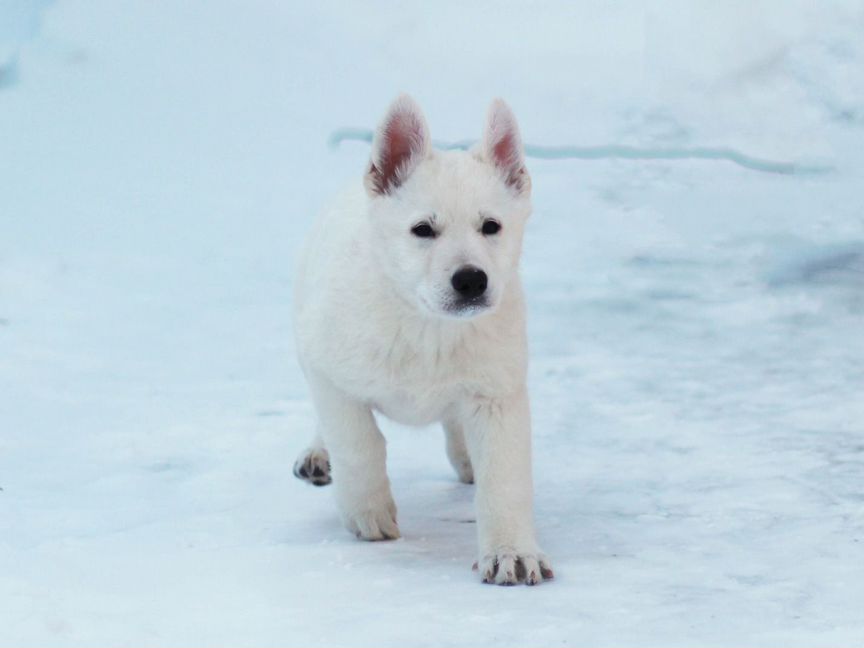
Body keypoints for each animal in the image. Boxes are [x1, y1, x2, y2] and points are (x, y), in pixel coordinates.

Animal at [294, 96, 552, 588]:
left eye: (491, 226)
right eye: (422, 230)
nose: (471, 280)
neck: (426, 326)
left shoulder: (497, 394)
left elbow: (504, 480)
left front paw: (510, 553)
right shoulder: (330, 374)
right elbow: (358, 442)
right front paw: (369, 513)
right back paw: (318, 454)